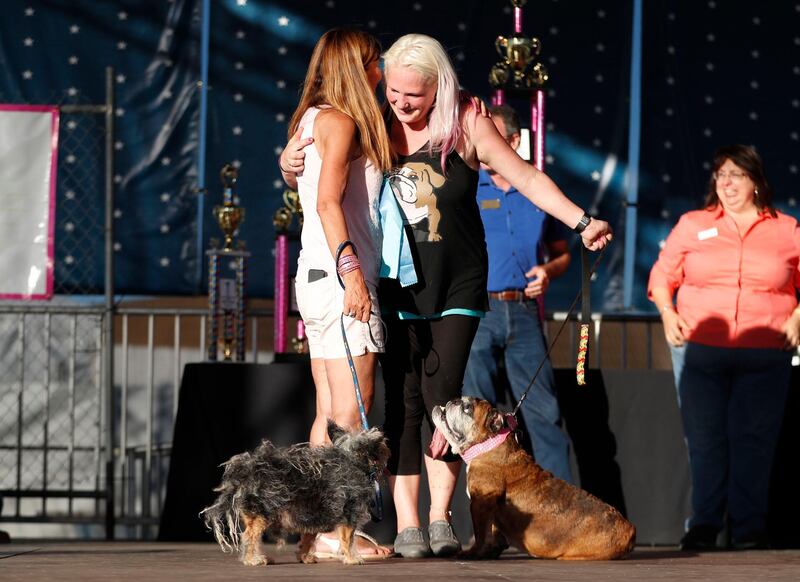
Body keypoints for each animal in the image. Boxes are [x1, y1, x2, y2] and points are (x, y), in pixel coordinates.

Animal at [200, 422, 388, 568]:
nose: (385, 441)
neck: (352, 460)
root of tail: (247, 471)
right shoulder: (348, 514)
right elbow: (347, 539)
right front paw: (351, 558)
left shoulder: (313, 517)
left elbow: (308, 539)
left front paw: (305, 557)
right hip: (261, 514)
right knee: (248, 537)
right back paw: (252, 560)